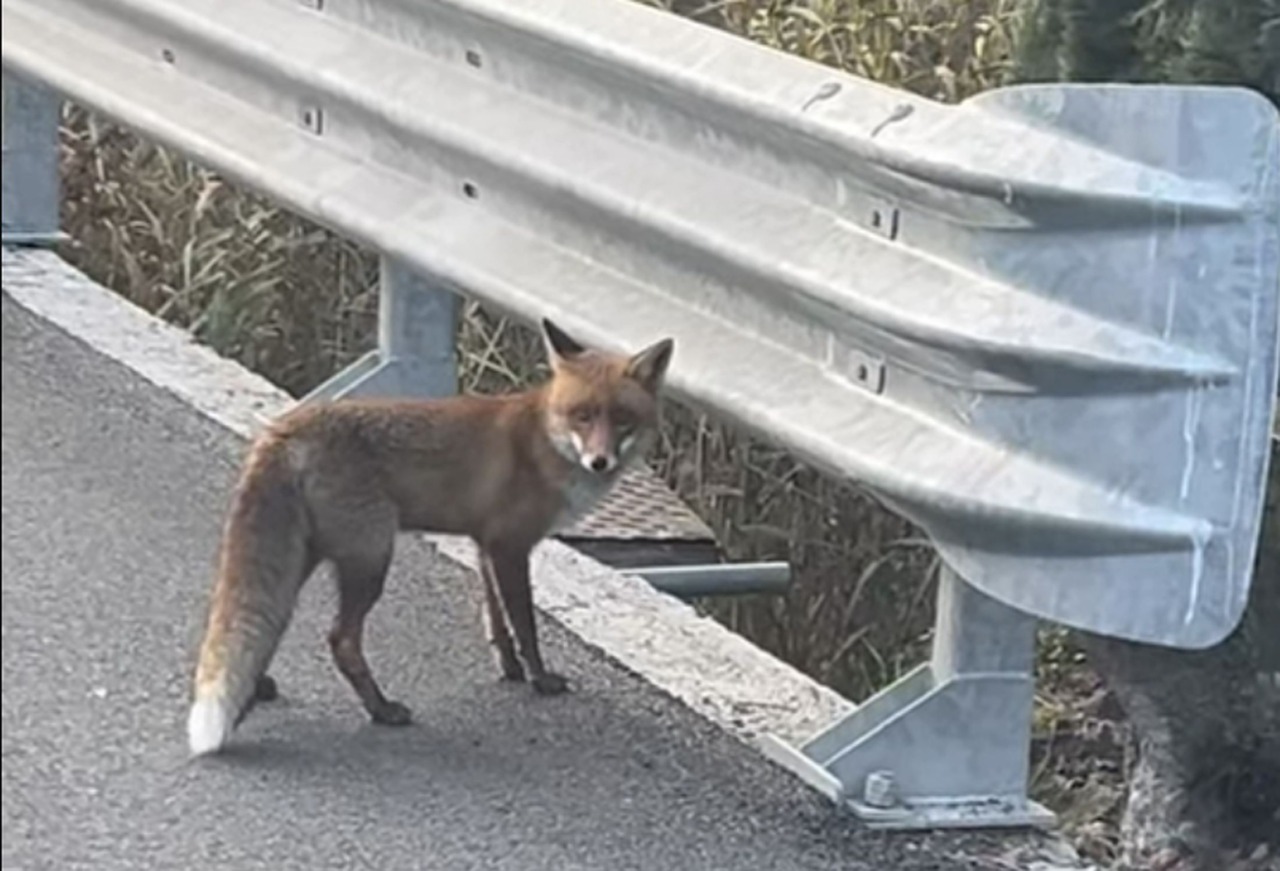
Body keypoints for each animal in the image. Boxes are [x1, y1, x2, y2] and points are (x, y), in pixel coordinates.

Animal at [187, 318, 675, 756]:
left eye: (623, 419)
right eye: (583, 416)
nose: (600, 461)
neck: (544, 442)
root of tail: (284, 428)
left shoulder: (485, 543)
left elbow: (496, 619)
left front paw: (510, 669)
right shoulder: (510, 545)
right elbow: (525, 624)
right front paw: (540, 679)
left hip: (306, 555)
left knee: (272, 622)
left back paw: (257, 690)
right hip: (370, 559)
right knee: (340, 640)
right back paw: (381, 710)